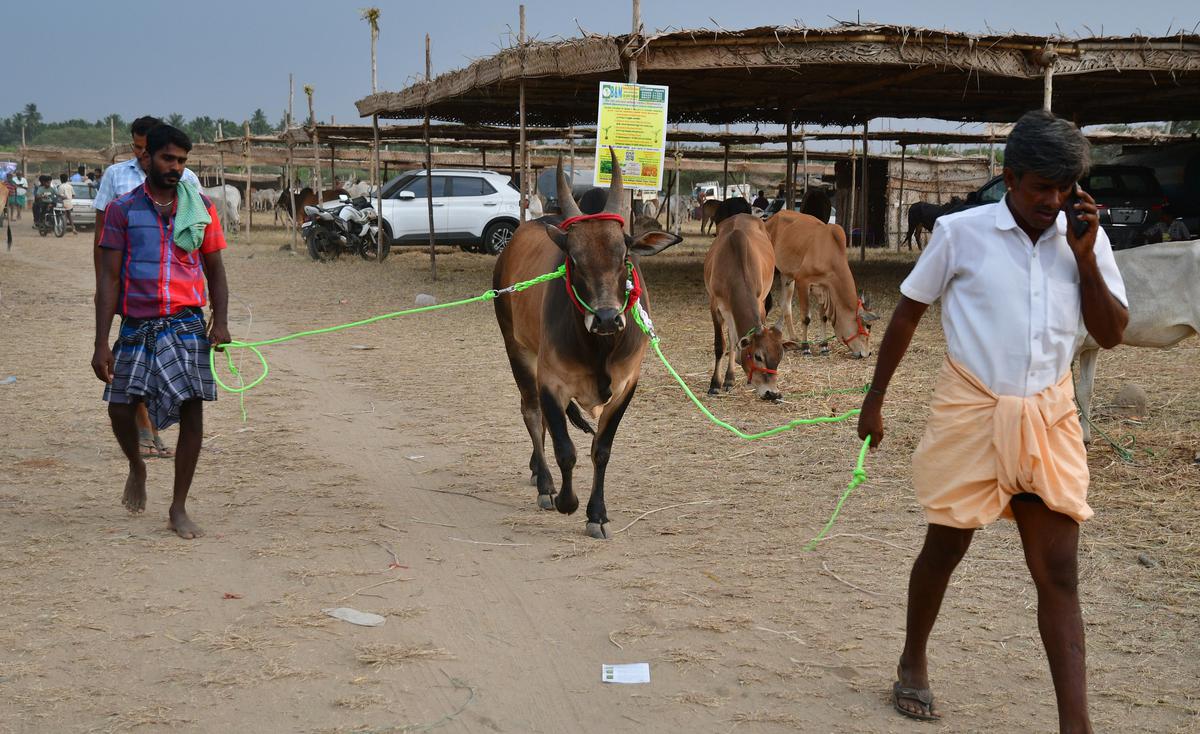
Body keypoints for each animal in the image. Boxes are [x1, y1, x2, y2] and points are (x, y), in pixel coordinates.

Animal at [492, 154, 681, 542]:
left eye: (624, 256)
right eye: (574, 261)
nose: (607, 318)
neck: (600, 349)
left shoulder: (626, 385)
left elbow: (601, 450)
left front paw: (598, 514)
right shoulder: (551, 381)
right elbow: (566, 449)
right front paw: (567, 501)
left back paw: (536, 469)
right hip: (517, 349)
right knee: (532, 412)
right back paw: (545, 482)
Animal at [700, 214, 792, 398]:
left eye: (780, 357)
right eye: (758, 356)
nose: (772, 393)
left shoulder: (759, 302)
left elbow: (734, 340)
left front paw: (730, 378)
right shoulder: (715, 306)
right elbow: (720, 345)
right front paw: (715, 384)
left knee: (733, 338)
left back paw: (730, 378)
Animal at [763, 209, 878, 357]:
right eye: (867, 325)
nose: (868, 353)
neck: (829, 255)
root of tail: (771, 218)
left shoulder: (825, 289)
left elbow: (823, 317)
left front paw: (824, 346)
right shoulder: (802, 282)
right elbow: (806, 317)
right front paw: (806, 348)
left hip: (787, 276)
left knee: (785, 304)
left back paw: (794, 338)